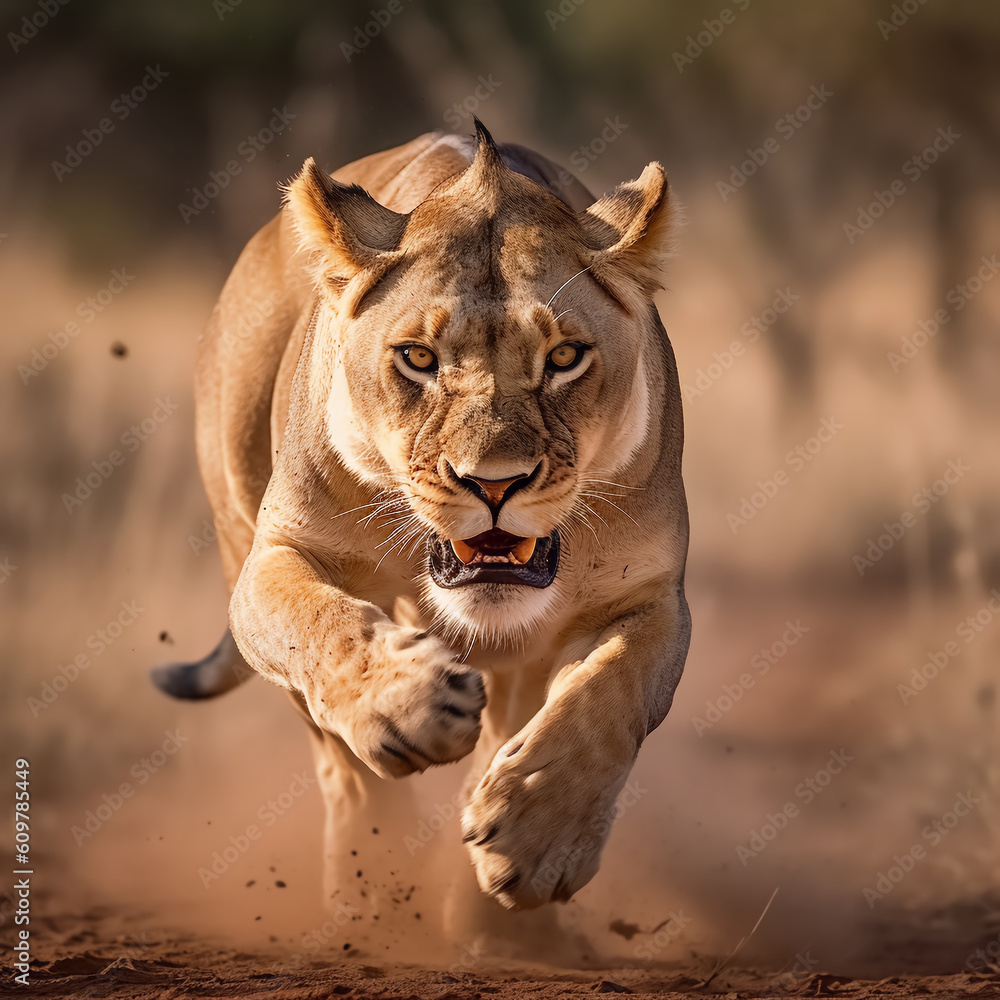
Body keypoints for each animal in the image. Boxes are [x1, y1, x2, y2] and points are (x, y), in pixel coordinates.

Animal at [154, 121, 691, 949]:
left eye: (565, 357)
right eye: (418, 358)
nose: (494, 484)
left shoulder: (653, 594)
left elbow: (609, 696)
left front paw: (533, 841)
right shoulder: (278, 556)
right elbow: (326, 630)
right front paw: (415, 708)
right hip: (234, 517)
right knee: (336, 755)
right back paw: (372, 890)